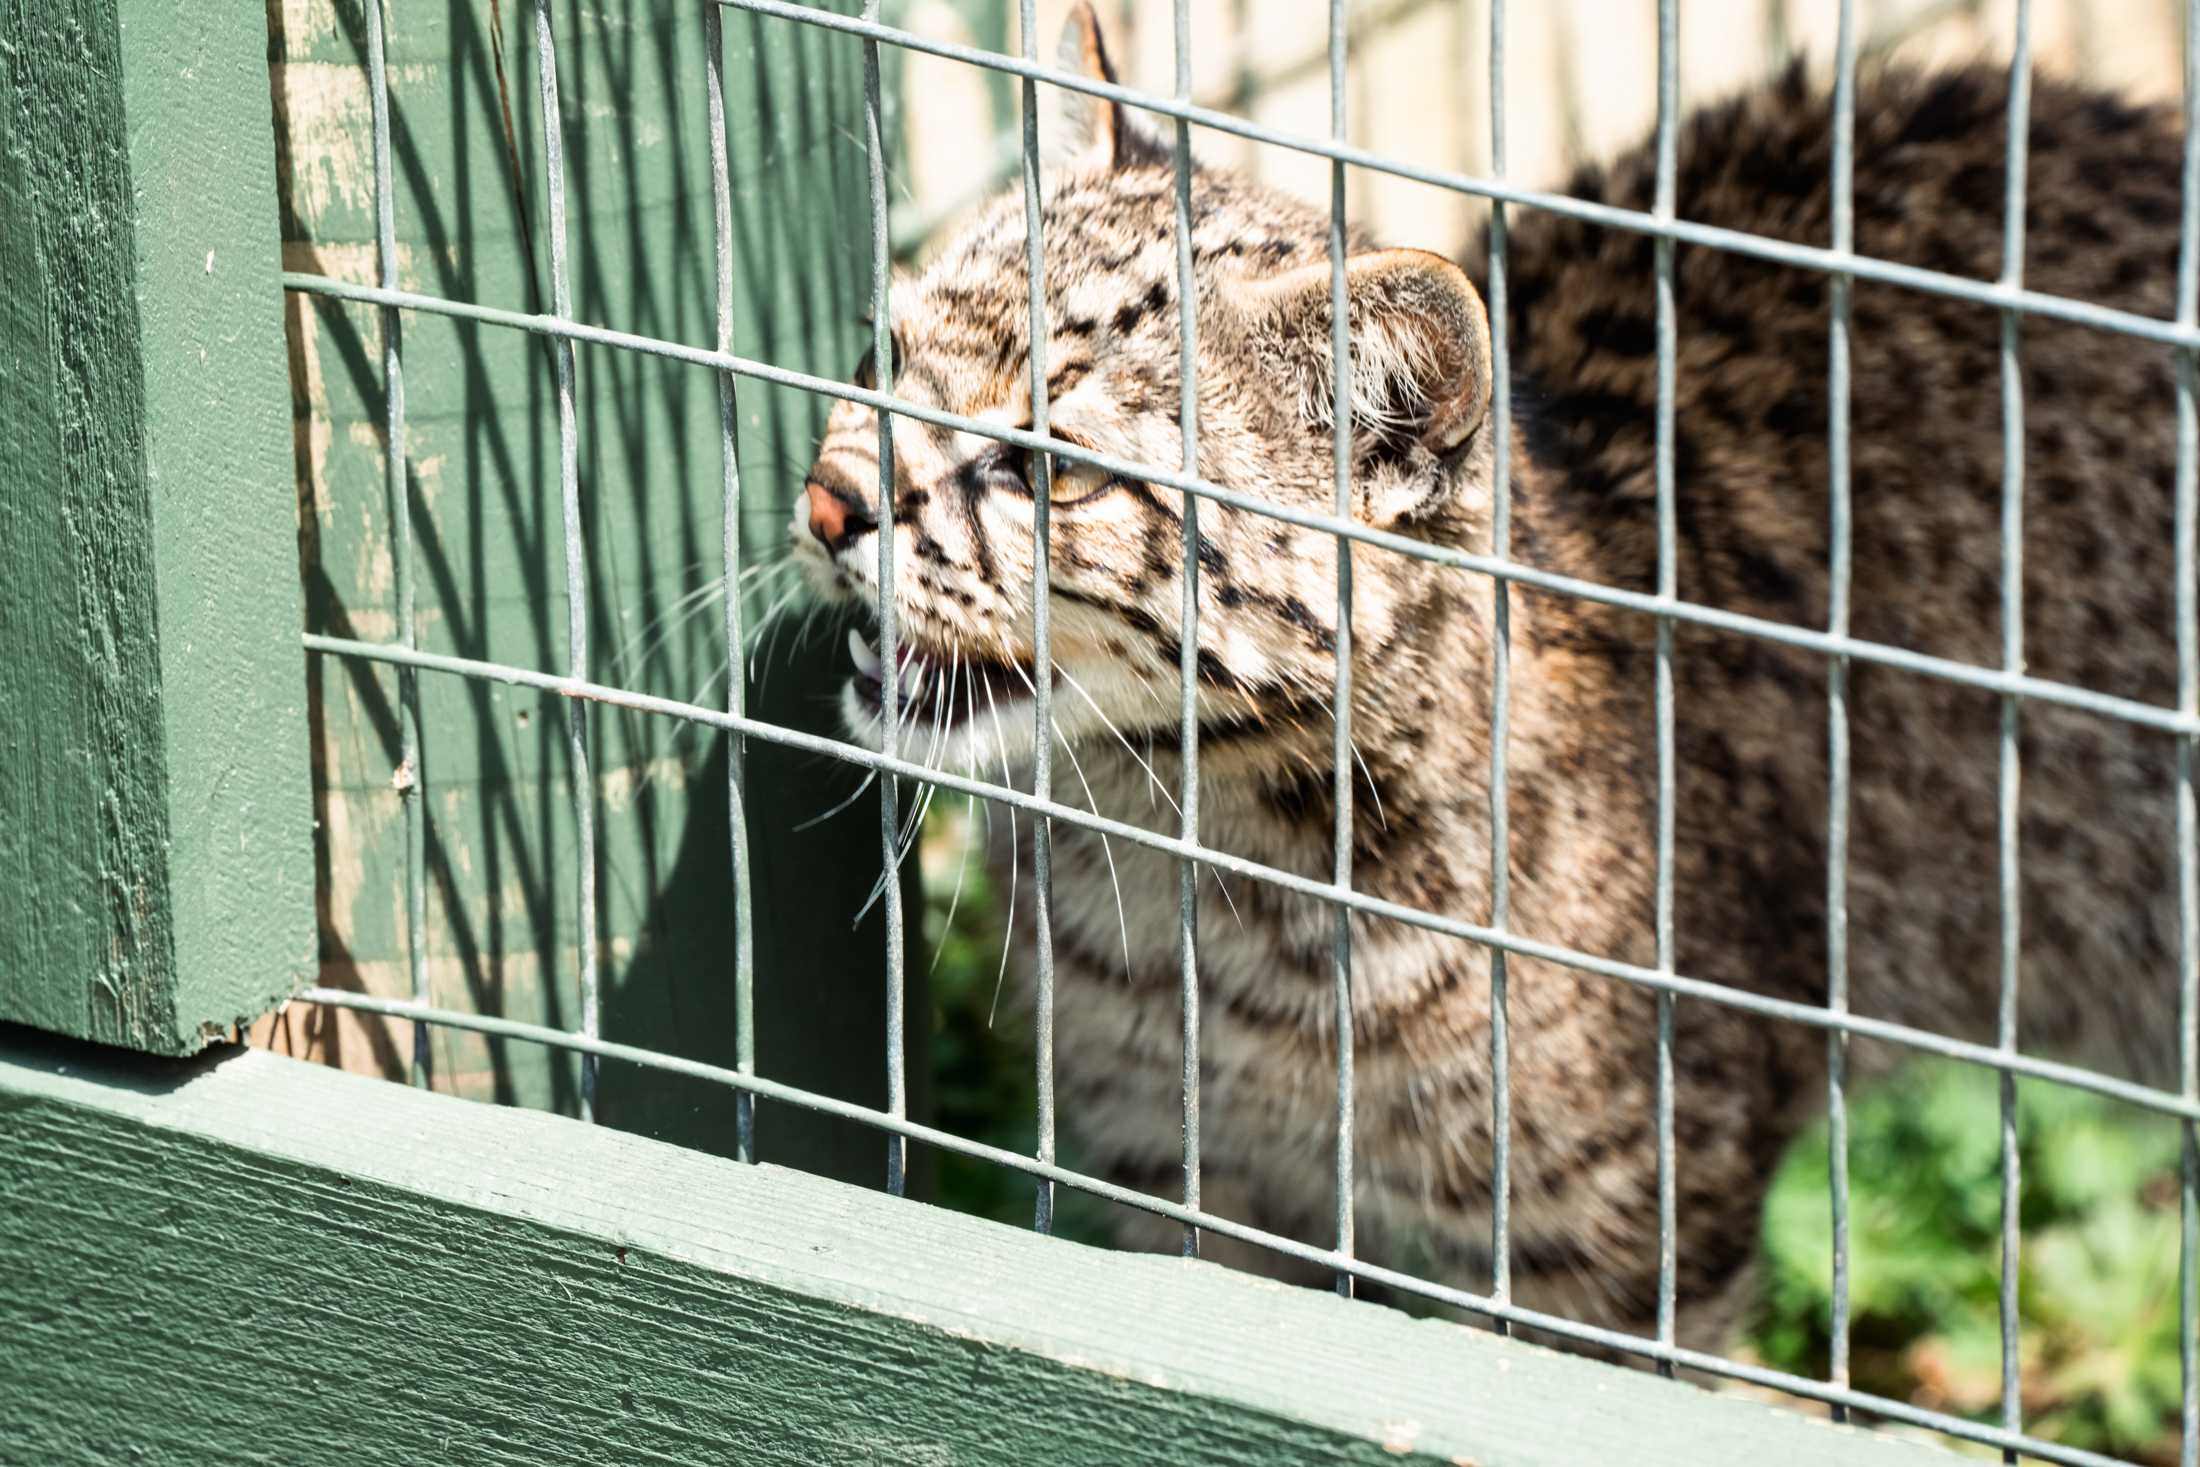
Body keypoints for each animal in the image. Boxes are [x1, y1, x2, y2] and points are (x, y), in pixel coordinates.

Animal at [787, 2, 2182, 1354]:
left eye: (1054, 470)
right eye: (883, 353)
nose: (828, 502)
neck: (1201, 862)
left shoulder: (1615, 1244)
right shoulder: (1171, 1173)